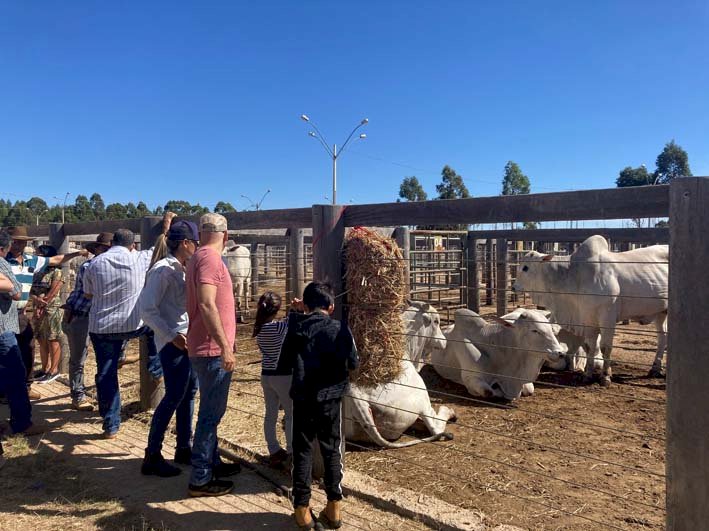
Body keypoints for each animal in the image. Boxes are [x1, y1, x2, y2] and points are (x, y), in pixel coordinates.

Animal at [344, 302, 460, 446]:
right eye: (436, 321)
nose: (444, 341)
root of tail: (355, 395)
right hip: (422, 400)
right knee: (436, 428)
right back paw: (450, 412)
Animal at [428, 310, 568, 402]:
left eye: (551, 329)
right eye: (534, 330)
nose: (560, 352)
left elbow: (529, 389)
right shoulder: (471, 378)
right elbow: (489, 392)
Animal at [512, 237, 668, 386]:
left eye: (525, 268)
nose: (514, 287)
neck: (574, 275)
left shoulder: (607, 317)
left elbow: (605, 347)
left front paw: (605, 376)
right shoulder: (587, 318)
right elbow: (589, 347)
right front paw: (587, 375)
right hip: (661, 313)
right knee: (662, 337)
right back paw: (655, 368)